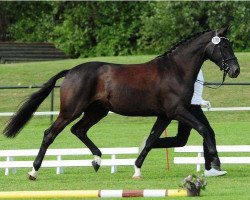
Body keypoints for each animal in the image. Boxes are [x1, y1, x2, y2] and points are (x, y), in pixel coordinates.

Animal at [2, 27, 240, 180]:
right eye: (224, 46)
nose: (235, 70)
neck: (175, 71)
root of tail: (71, 71)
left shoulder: (165, 115)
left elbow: (151, 140)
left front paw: (136, 170)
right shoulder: (177, 111)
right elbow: (204, 129)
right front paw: (216, 164)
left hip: (97, 111)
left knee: (78, 130)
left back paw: (97, 161)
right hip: (70, 111)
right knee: (50, 134)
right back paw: (33, 171)